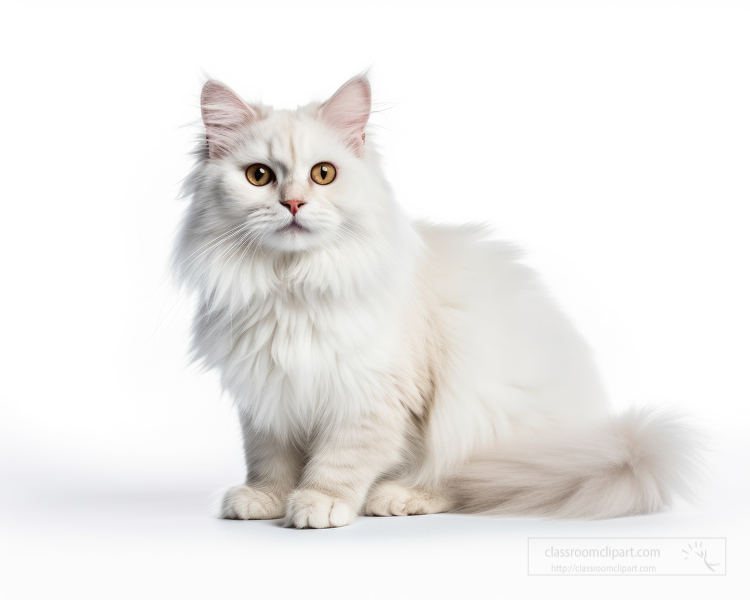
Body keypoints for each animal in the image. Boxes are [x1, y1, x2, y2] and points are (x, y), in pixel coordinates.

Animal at [173, 74, 704, 524]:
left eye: (323, 174)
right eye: (259, 176)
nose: (293, 204)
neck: (291, 286)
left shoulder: (371, 396)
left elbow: (341, 460)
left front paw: (318, 504)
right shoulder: (269, 397)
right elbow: (270, 460)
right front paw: (267, 499)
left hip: (478, 414)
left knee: (468, 484)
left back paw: (397, 498)